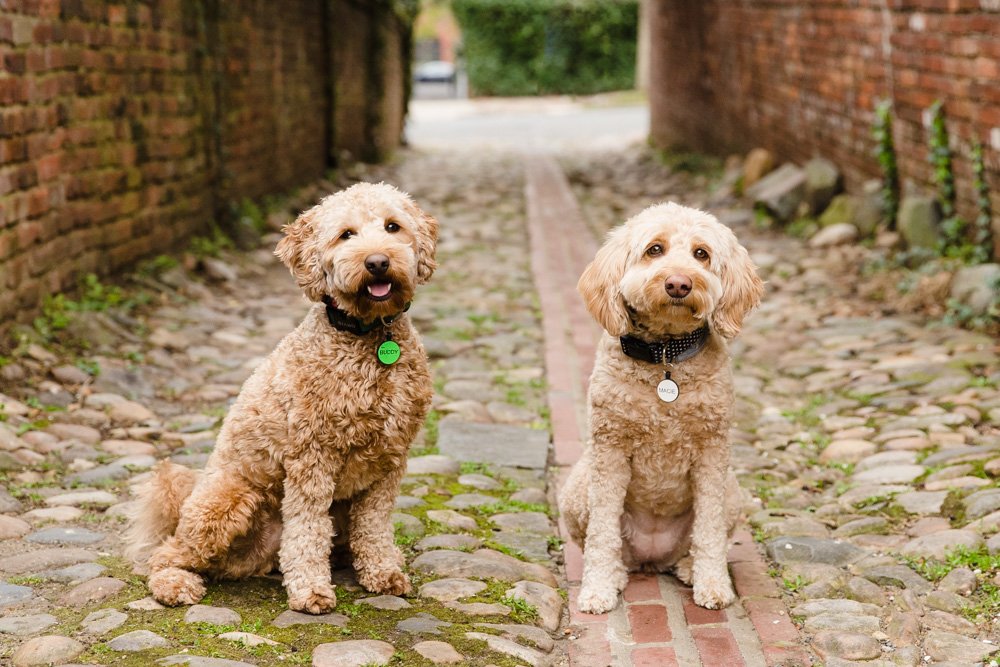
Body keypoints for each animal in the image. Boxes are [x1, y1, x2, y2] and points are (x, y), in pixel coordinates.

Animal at [126, 183, 438, 616]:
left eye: (393, 227)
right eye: (346, 235)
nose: (377, 262)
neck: (367, 336)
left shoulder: (390, 460)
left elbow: (374, 525)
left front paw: (382, 572)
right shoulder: (312, 457)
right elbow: (307, 528)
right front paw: (311, 590)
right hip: (226, 501)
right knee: (167, 553)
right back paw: (175, 583)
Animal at [560, 201, 760, 612]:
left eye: (702, 254)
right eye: (655, 249)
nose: (679, 283)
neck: (665, 355)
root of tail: (652, 558)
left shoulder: (712, 455)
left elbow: (709, 529)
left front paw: (713, 584)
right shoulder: (609, 451)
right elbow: (602, 532)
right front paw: (597, 589)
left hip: (732, 492)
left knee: (701, 538)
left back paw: (688, 567)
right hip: (576, 488)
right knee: (605, 543)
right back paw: (617, 572)